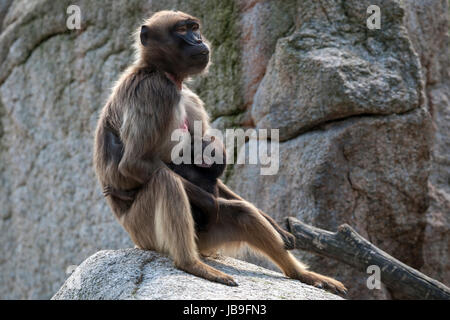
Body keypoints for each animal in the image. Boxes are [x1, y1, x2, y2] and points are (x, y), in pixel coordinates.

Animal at [93, 10, 346, 296]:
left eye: (194, 28)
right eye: (182, 30)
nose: (199, 40)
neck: (162, 73)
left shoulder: (188, 98)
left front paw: (275, 225)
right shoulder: (154, 91)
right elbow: (133, 164)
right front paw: (209, 202)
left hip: (204, 238)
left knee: (243, 213)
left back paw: (301, 274)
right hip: (144, 232)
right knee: (165, 181)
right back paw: (190, 263)